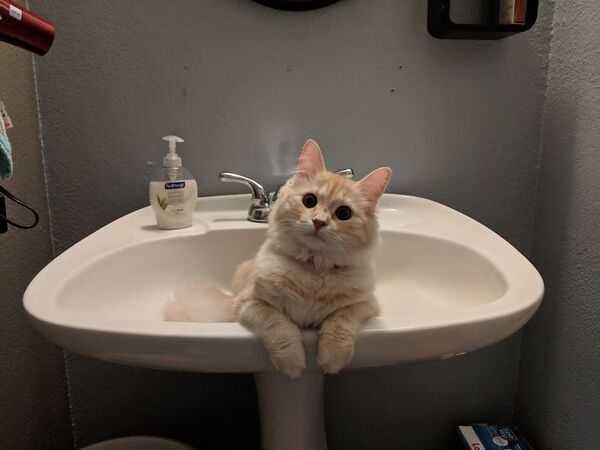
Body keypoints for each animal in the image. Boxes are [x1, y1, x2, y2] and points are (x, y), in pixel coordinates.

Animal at [231, 139, 391, 378]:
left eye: (343, 214)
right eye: (309, 200)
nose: (318, 222)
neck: (314, 269)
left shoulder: (366, 304)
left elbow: (341, 319)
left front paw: (333, 356)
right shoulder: (249, 303)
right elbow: (278, 325)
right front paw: (292, 362)